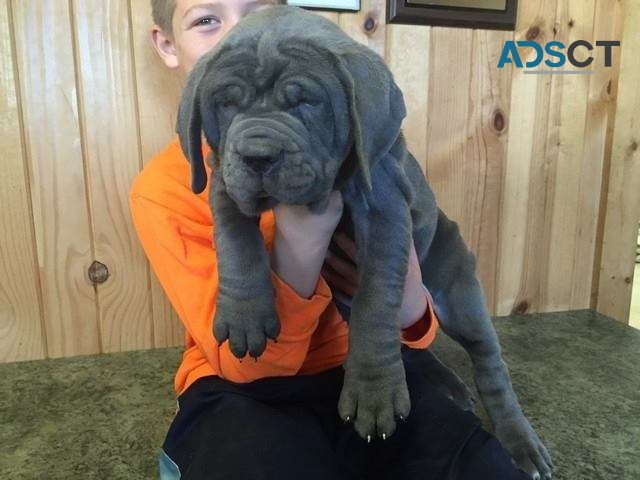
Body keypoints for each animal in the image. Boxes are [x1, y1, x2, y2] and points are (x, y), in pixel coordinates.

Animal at [178, 4, 552, 480]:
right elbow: (234, 238)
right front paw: (245, 314)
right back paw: (444, 382)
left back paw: (521, 441)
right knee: (412, 346)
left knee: (488, 362)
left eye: (307, 102)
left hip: (458, 290)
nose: (258, 155)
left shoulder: (385, 206)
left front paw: (374, 394)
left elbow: (377, 301)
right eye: (226, 103)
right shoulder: (223, 177)